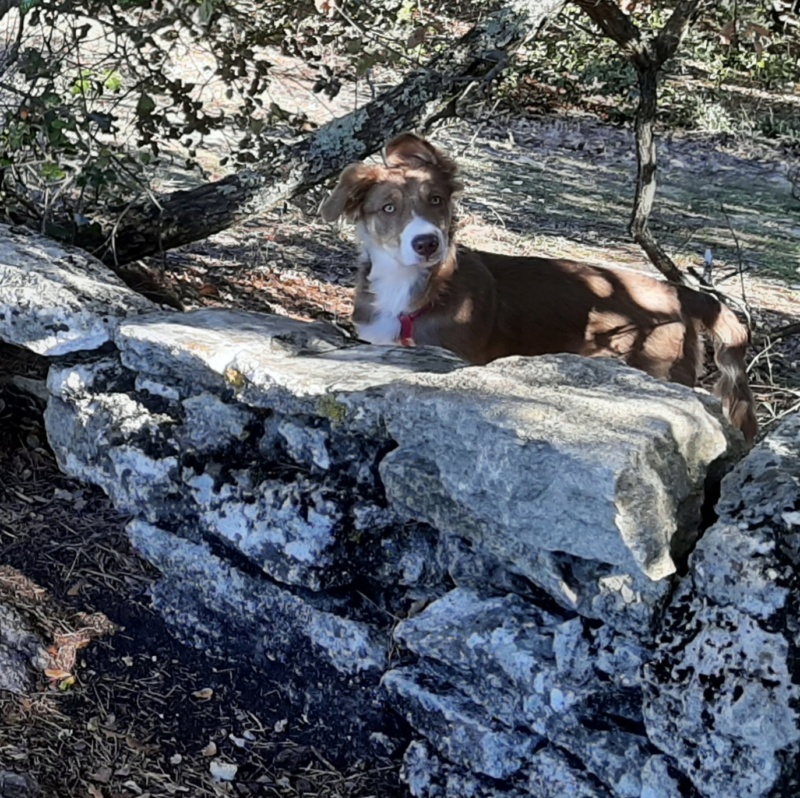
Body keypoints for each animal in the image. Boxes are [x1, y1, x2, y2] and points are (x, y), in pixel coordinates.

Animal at [318, 132, 756, 444]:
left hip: (660, 371)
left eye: (436, 200)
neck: (415, 290)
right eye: (388, 208)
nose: (427, 243)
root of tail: (676, 291)